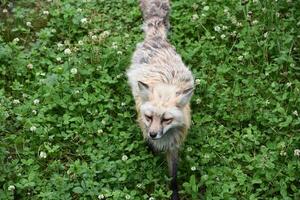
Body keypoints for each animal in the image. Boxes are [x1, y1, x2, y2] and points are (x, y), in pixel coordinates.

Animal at [126, 0, 195, 199]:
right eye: (149, 117)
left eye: (167, 119)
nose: (153, 134)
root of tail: (156, 38)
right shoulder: (144, 124)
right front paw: (150, 148)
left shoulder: (174, 146)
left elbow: (173, 177)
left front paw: (174, 194)